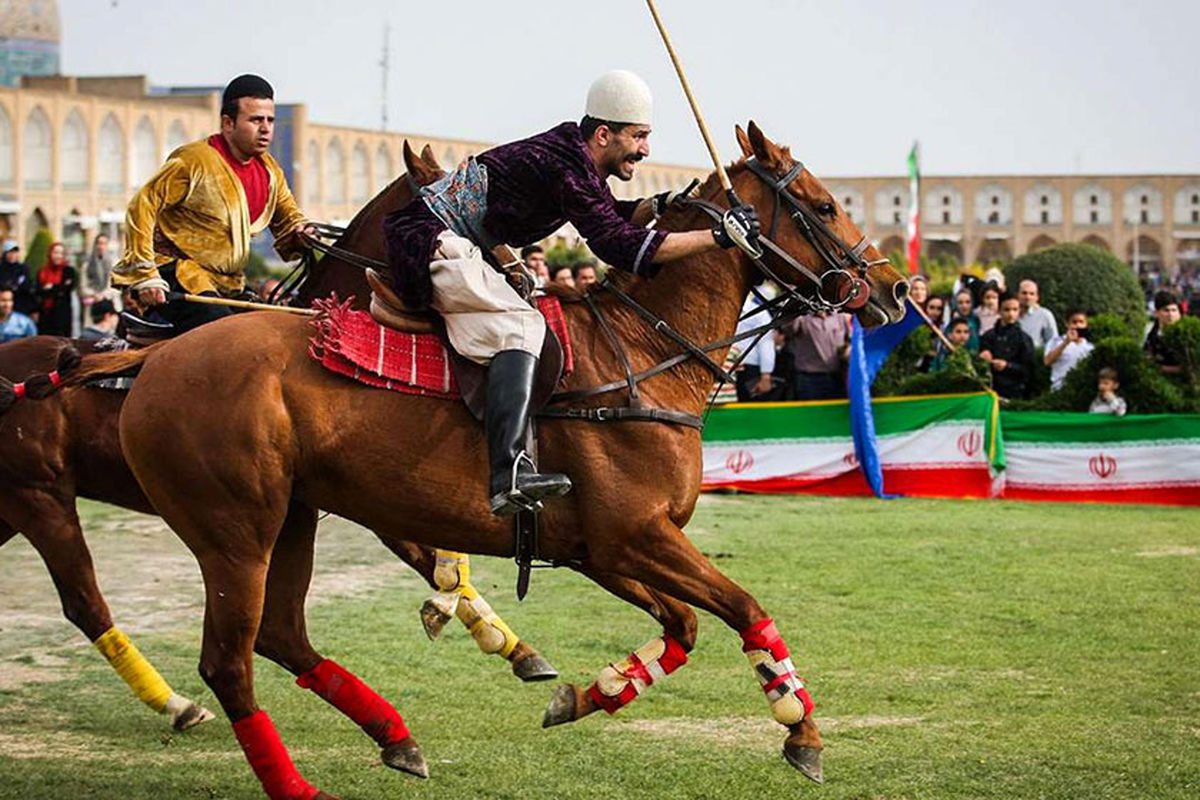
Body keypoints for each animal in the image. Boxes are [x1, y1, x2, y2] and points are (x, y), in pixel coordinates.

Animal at [65, 122, 907, 796]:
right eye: (824, 207)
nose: (895, 289)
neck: (644, 352)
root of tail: (151, 360)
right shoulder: (636, 536)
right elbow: (745, 610)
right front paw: (801, 731)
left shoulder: (603, 547)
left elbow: (685, 626)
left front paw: (586, 693)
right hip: (232, 530)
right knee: (226, 662)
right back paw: (296, 781)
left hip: (292, 515)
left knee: (280, 636)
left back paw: (397, 739)